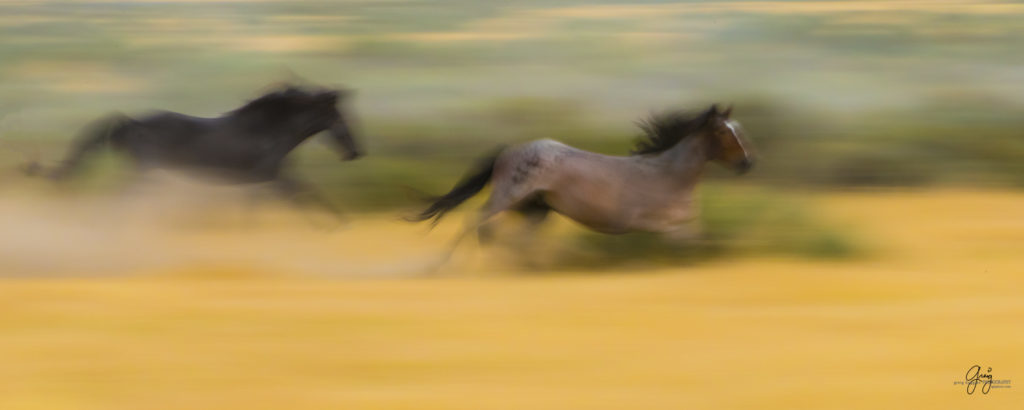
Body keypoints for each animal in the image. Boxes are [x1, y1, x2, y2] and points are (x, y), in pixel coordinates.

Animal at [25, 85, 364, 219]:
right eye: (339, 118)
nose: (355, 152)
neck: (269, 132)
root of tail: (129, 121)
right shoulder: (272, 176)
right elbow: (307, 195)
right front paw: (337, 224)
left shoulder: (265, 180)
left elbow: (276, 205)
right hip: (143, 171)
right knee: (117, 200)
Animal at [407, 105, 753, 259]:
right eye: (722, 132)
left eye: (738, 129)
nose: (746, 163)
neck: (670, 175)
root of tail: (509, 150)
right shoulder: (665, 227)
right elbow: (692, 250)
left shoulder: (686, 228)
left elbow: (704, 244)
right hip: (508, 196)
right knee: (475, 222)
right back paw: (446, 268)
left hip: (536, 209)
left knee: (511, 238)